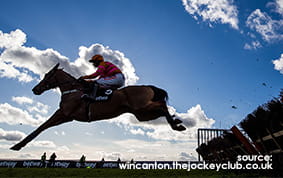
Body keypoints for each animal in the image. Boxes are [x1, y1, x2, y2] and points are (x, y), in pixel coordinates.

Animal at [10, 63, 186, 151]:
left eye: (47, 75)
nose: (35, 89)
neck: (73, 90)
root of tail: (148, 86)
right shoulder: (68, 117)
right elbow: (43, 127)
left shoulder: (63, 113)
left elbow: (41, 126)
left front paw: (18, 145)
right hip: (142, 114)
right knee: (161, 108)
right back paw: (176, 123)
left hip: (141, 108)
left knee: (162, 105)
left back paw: (176, 124)